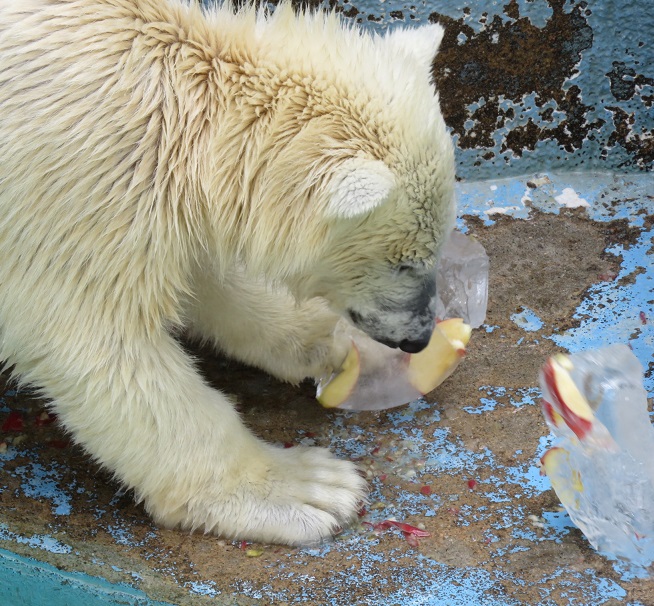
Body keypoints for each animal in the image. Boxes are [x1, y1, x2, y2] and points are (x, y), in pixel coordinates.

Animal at [0, 0, 456, 548]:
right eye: (404, 260)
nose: (417, 338)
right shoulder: (78, 183)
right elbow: (98, 344)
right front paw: (307, 489)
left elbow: (205, 276)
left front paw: (334, 344)